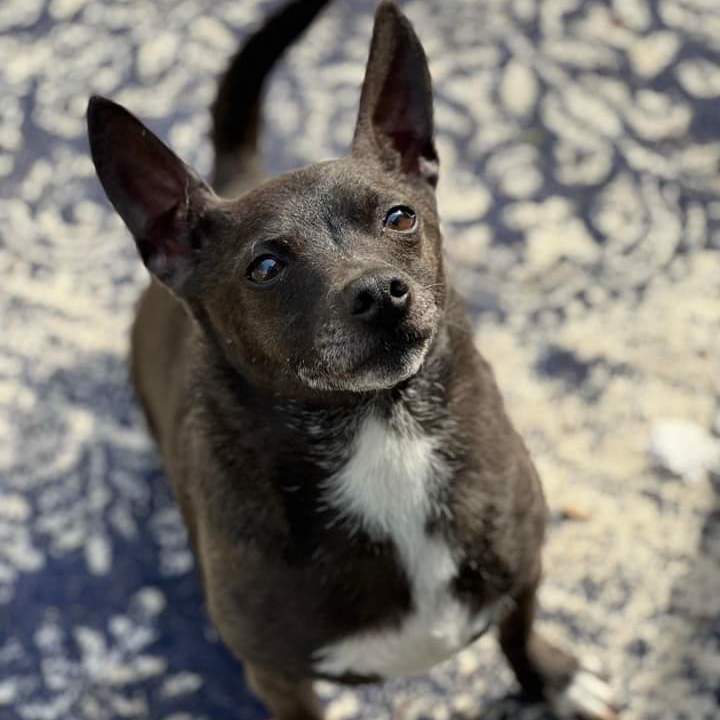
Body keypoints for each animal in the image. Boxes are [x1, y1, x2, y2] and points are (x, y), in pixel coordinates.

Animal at [86, 1, 620, 720]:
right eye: (266, 266)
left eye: (400, 218)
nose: (380, 293)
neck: (381, 429)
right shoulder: (278, 677)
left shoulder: (525, 566)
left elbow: (519, 628)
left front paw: (553, 678)